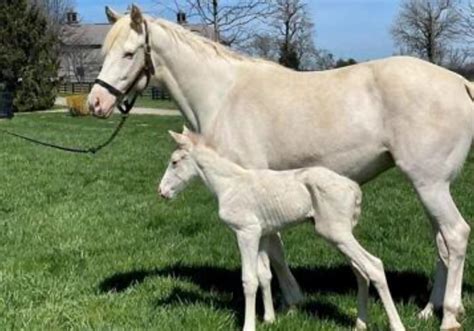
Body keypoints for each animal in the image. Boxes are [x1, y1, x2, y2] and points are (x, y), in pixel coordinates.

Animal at [161, 130, 406, 331]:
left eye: (174, 162)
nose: (162, 192)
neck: (229, 185)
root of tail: (353, 188)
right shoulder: (262, 234)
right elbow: (264, 276)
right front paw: (269, 319)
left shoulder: (246, 232)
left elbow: (249, 280)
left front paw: (249, 326)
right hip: (340, 235)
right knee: (360, 272)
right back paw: (360, 324)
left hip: (335, 233)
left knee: (374, 266)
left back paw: (396, 325)